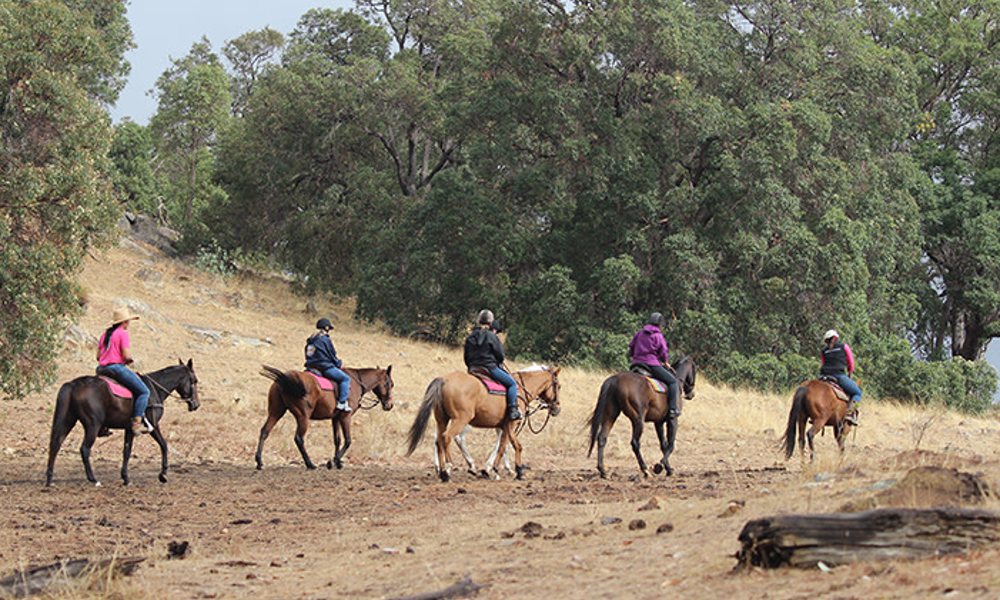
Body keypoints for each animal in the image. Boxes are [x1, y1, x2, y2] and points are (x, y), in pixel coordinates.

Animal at [47, 358, 201, 486]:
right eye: (194, 380)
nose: (196, 405)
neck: (155, 390)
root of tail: (73, 384)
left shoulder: (129, 429)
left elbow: (126, 451)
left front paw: (126, 478)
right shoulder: (153, 425)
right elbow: (163, 445)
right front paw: (163, 475)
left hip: (68, 420)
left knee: (56, 444)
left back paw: (50, 479)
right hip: (92, 425)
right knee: (84, 449)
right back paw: (94, 479)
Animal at [256, 364, 392, 472]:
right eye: (389, 384)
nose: (389, 405)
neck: (355, 383)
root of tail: (287, 378)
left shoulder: (335, 418)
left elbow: (337, 440)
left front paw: (337, 463)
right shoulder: (345, 417)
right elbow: (348, 440)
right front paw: (334, 461)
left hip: (276, 412)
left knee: (264, 431)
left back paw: (259, 462)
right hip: (303, 416)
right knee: (299, 439)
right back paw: (310, 464)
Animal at [406, 366, 564, 482]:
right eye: (558, 386)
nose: (557, 408)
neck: (520, 389)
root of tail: (444, 380)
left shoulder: (504, 427)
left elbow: (502, 446)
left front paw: (494, 470)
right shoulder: (512, 424)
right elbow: (514, 446)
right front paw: (516, 471)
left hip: (442, 420)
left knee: (439, 439)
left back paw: (443, 471)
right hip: (461, 420)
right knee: (449, 438)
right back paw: (450, 467)